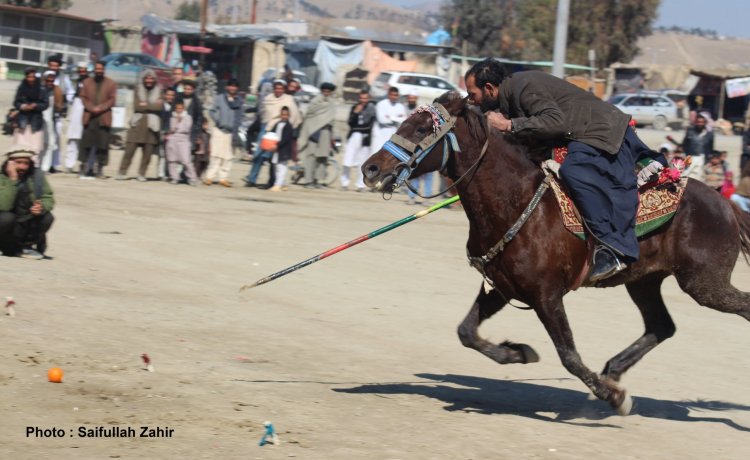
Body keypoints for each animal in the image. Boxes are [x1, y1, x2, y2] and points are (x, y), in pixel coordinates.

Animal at [362, 91, 748, 416]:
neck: (515, 202)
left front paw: (614, 397)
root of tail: (726, 204)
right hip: (645, 280)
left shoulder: (546, 296)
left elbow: (569, 355)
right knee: (662, 325)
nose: (371, 169)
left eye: (421, 128)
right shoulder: (504, 287)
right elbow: (466, 332)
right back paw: (613, 369)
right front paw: (518, 352)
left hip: (705, 283)